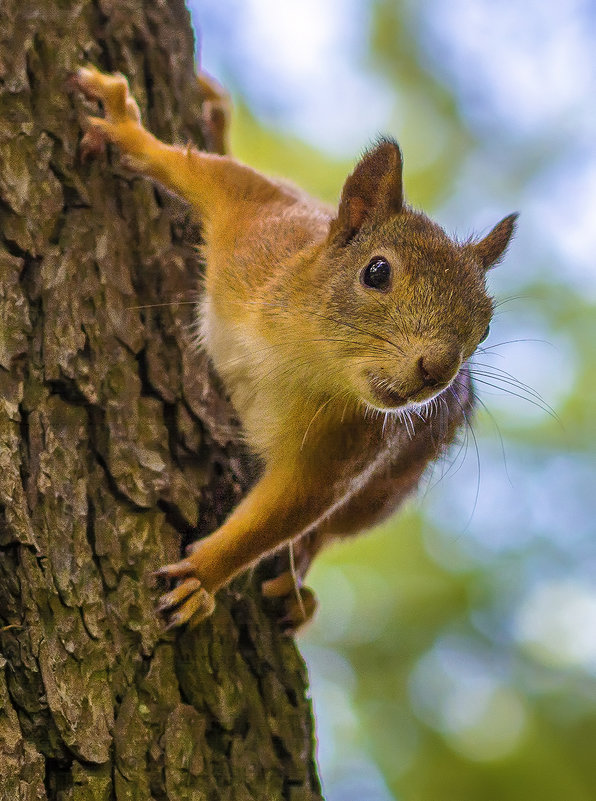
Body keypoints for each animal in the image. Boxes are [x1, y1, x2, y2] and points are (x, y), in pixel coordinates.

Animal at [71, 67, 516, 632]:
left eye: (485, 329)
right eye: (377, 271)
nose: (438, 371)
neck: (299, 353)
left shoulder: (349, 447)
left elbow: (283, 515)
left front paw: (203, 577)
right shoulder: (257, 224)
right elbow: (198, 168)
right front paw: (126, 128)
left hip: (389, 487)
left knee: (325, 534)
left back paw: (297, 586)